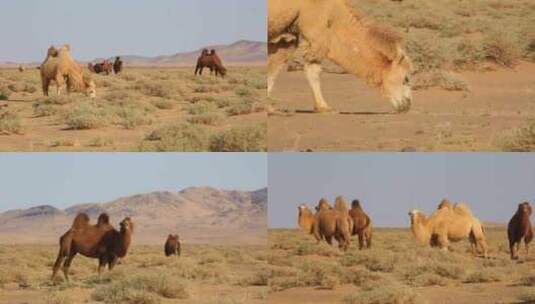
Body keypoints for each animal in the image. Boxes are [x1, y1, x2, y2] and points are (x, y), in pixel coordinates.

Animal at [268, 0, 414, 113]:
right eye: (405, 78)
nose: (407, 104)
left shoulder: (291, 32)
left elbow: (277, 64)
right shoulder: (314, 30)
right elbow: (311, 70)